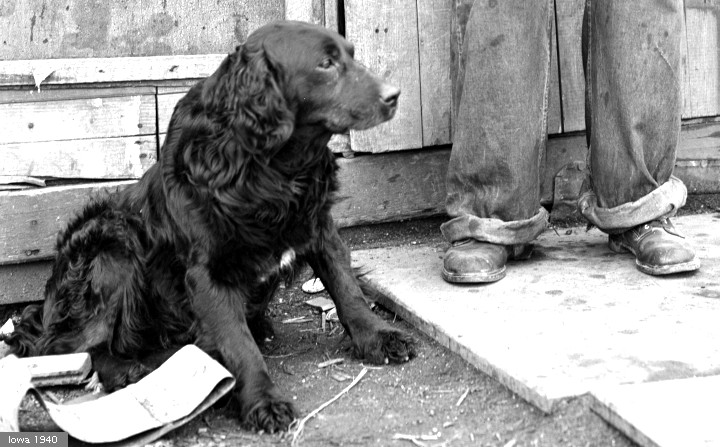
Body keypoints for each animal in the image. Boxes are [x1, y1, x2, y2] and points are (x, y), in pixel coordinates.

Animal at [5, 21, 415, 432]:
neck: (273, 169)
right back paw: (125, 370)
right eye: (326, 63)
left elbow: (347, 289)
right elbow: (239, 344)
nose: (394, 95)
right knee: (71, 346)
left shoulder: (319, 227)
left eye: (351, 54)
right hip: (111, 245)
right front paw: (264, 401)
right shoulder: (208, 274)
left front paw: (379, 338)